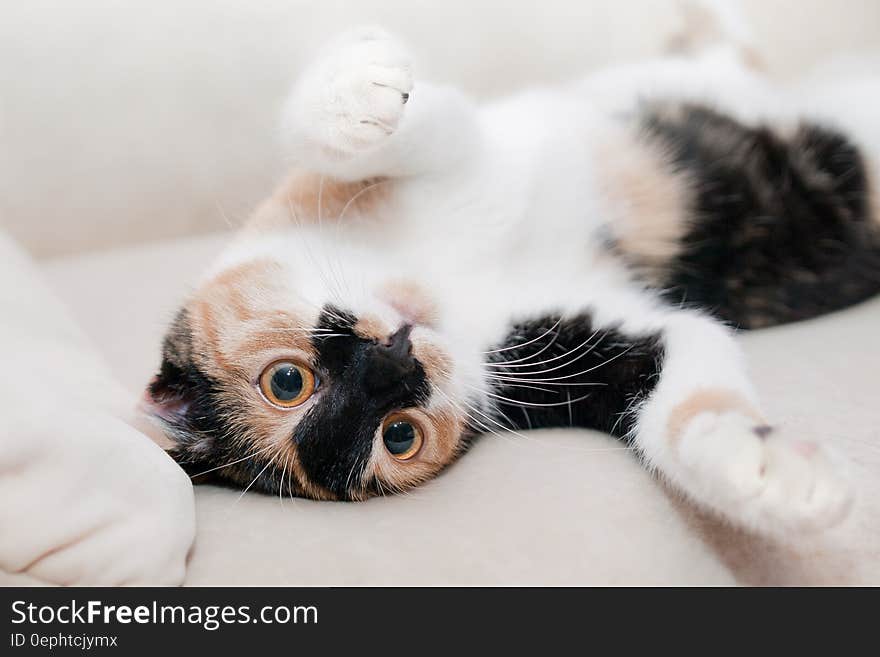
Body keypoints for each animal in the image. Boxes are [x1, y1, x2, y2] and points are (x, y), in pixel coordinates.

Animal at [144, 15, 880, 536]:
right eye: (399, 434)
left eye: (286, 382)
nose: (395, 364)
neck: (448, 280)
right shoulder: (581, 343)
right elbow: (682, 379)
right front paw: (766, 471)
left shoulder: (389, 169)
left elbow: (342, 133)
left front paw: (356, 98)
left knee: (730, 55)